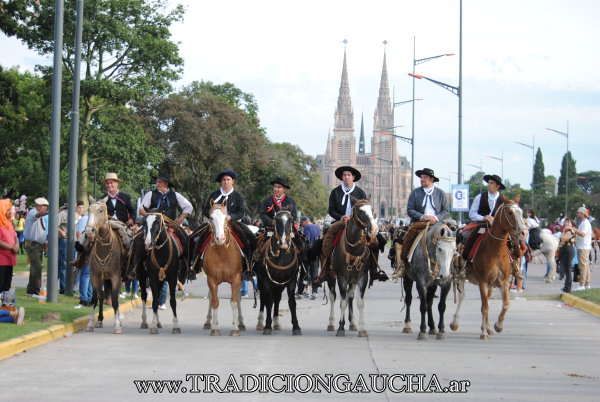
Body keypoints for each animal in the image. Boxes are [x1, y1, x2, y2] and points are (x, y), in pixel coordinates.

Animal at [84, 199, 126, 334]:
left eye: (101, 210)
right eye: (89, 209)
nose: (89, 231)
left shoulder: (116, 277)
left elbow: (115, 300)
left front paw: (117, 325)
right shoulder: (95, 276)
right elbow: (94, 298)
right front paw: (91, 323)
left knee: (114, 296)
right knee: (102, 296)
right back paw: (100, 320)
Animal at [200, 201, 245, 336]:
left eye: (226, 217)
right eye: (211, 217)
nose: (220, 238)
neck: (222, 252)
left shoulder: (236, 279)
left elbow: (234, 302)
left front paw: (235, 328)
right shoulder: (211, 280)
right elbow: (214, 302)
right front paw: (215, 328)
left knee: (238, 299)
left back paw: (241, 323)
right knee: (210, 297)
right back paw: (208, 322)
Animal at [450, 198, 524, 340]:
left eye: (521, 212)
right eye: (510, 212)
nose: (523, 232)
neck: (496, 251)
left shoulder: (504, 282)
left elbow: (505, 304)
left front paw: (497, 326)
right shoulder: (483, 281)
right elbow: (484, 307)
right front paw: (483, 333)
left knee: (487, 299)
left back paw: (488, 327)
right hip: (461, 276)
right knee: (462, 297)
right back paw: (455, 323)